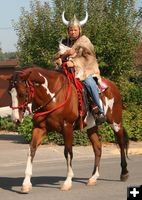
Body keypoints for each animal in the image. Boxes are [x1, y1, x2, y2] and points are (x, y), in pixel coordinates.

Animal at [0, 64, 129, 192]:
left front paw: (67, 182)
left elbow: (68, 152)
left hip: (116, 122)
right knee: (97, 148)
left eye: (23, 93)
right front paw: (26, 183)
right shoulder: (39, 128)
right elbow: (31, 150)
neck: (53, 97)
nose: (16, 119)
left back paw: (124, 173)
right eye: (9, 93)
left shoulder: (67, 127)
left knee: (121, 143)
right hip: (92, 127)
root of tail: (112, 86)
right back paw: (93, 178)